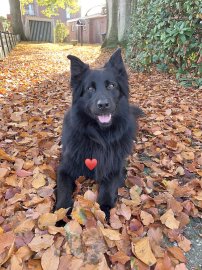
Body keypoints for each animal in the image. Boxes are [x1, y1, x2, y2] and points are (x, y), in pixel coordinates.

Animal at [55, 48, 144, 219]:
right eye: (90, 89)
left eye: (111, 86)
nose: (103, 105)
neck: (99, 137)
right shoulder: (64, 169)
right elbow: (63, 191)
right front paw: (59, 216)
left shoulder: (115, 168)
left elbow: (107, 189)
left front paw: (105, 210)